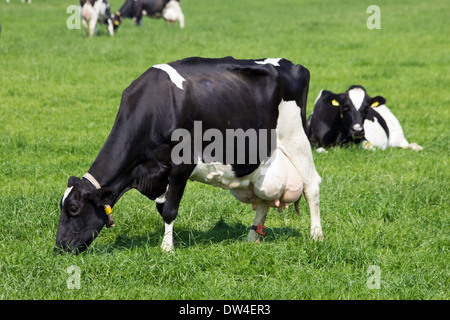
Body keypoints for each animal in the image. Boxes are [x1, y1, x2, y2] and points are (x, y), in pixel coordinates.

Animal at [55, 56, 324, 254]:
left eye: (74, 208)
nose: (59, 248)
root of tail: (291, 64)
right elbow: (163, 208)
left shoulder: (183, 163)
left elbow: (169, 209)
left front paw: (166, 248)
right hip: (265, 162)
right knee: (266, 197)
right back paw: (251, 237)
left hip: (296, 138)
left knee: (311, 185)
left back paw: (316, 235)